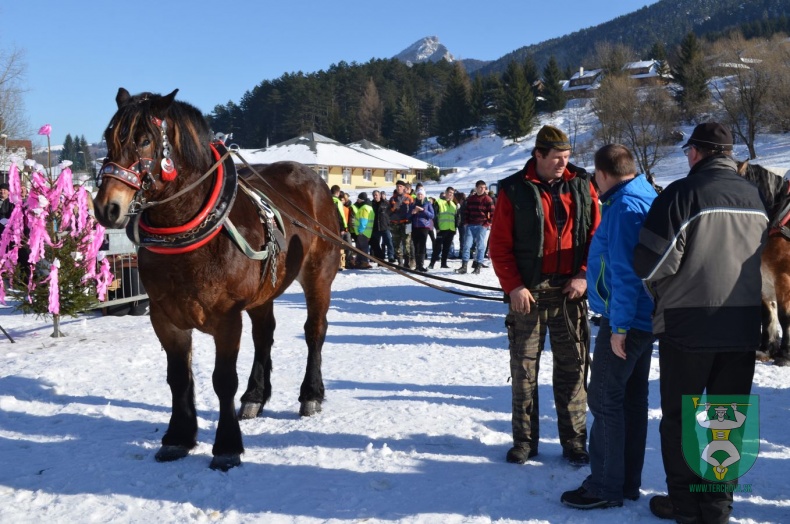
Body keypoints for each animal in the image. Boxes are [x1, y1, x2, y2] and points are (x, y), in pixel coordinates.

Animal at [93, 88, 340, 468]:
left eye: (145, 140)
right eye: (108, 137)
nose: (107, 207)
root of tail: (315, 181)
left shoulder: (226, 318)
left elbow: (223, 381)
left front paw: (226, 446)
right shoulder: (165, 318)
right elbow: (179, 378)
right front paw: (178, 437)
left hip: (318, 275)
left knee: (314, 331)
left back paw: (310, 393)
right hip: (263, 292)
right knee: (264, 336)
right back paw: (255, 396)